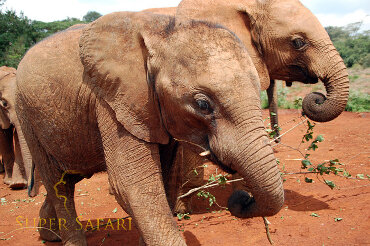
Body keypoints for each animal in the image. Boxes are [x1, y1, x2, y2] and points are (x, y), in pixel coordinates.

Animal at [15, 11, 284, 246]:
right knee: (58, 183)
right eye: (202, 104)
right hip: (26, 115)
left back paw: (49, 235)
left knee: (69, 176)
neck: (162, 30)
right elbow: (132, 185)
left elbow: (160, 178)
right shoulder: (114, 101)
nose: (241, 198)